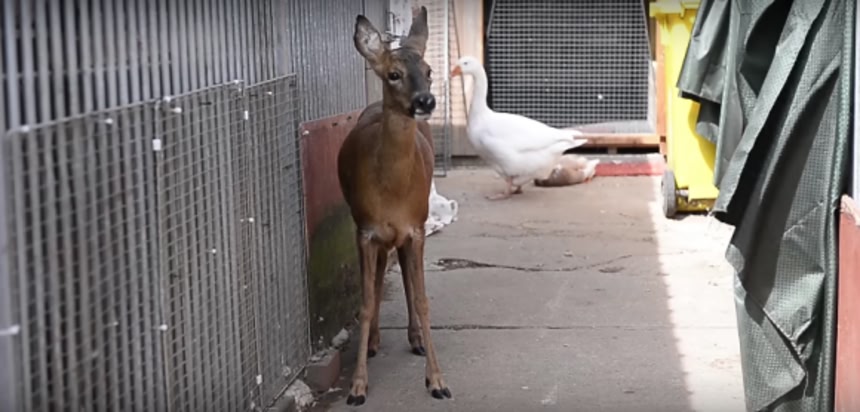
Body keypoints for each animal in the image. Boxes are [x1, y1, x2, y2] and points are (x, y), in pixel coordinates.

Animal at [336, 7, 452, 406]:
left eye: (429, 71)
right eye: (393, 74)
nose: (425, 101)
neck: (393, 191)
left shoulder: (416, 229)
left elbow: (423, 298)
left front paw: (437, 381)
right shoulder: (365, 230)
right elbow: (367, 302)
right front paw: (357, 387)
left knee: (402, 274)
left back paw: (415, 340)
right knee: (383, 273)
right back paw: (373, 343)